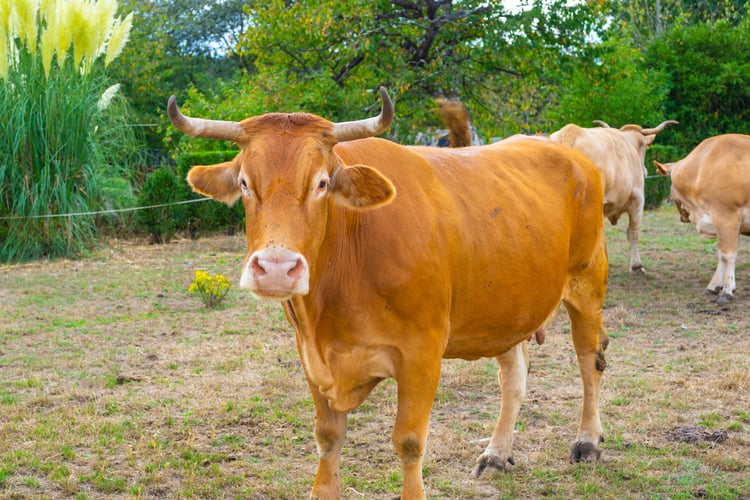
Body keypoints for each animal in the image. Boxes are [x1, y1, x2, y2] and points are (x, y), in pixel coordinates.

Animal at [168, 87, 609, 499]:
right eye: (244, 183)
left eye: (322, 183)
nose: (277, 267)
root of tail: (563, 149)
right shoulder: (310, 355)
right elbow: (328, 437)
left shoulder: (422, 353)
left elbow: (409, 441)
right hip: (507, 306)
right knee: (514, 376)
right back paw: (496, 453)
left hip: (587, 284)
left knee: (590, 362)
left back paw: (587, 441)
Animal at [550, 120, 677, 272]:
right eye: (645, 147)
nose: (645, 171)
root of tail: (571, 131)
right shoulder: (638, 199)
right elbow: (633, 232)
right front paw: (637, 266)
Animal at [654, 134, 750, 304]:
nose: (683, 217)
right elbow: (721, 255)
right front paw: (714, 286)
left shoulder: (726, 217)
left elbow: (729, 255)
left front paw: (727, 290)